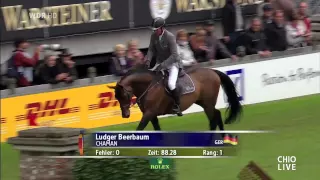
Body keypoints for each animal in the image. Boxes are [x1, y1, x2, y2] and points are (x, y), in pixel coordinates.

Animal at [108, 64, 242, 131]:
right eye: (116, 97)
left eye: (124, 95)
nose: (125, 115)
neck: (149, 86)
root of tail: (213, 71)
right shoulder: (151, 114)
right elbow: (157, 129)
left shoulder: (149, 113)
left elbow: (139, 129)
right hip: (203, 102)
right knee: (217, 114)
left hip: (208, 103)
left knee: (213, 119)